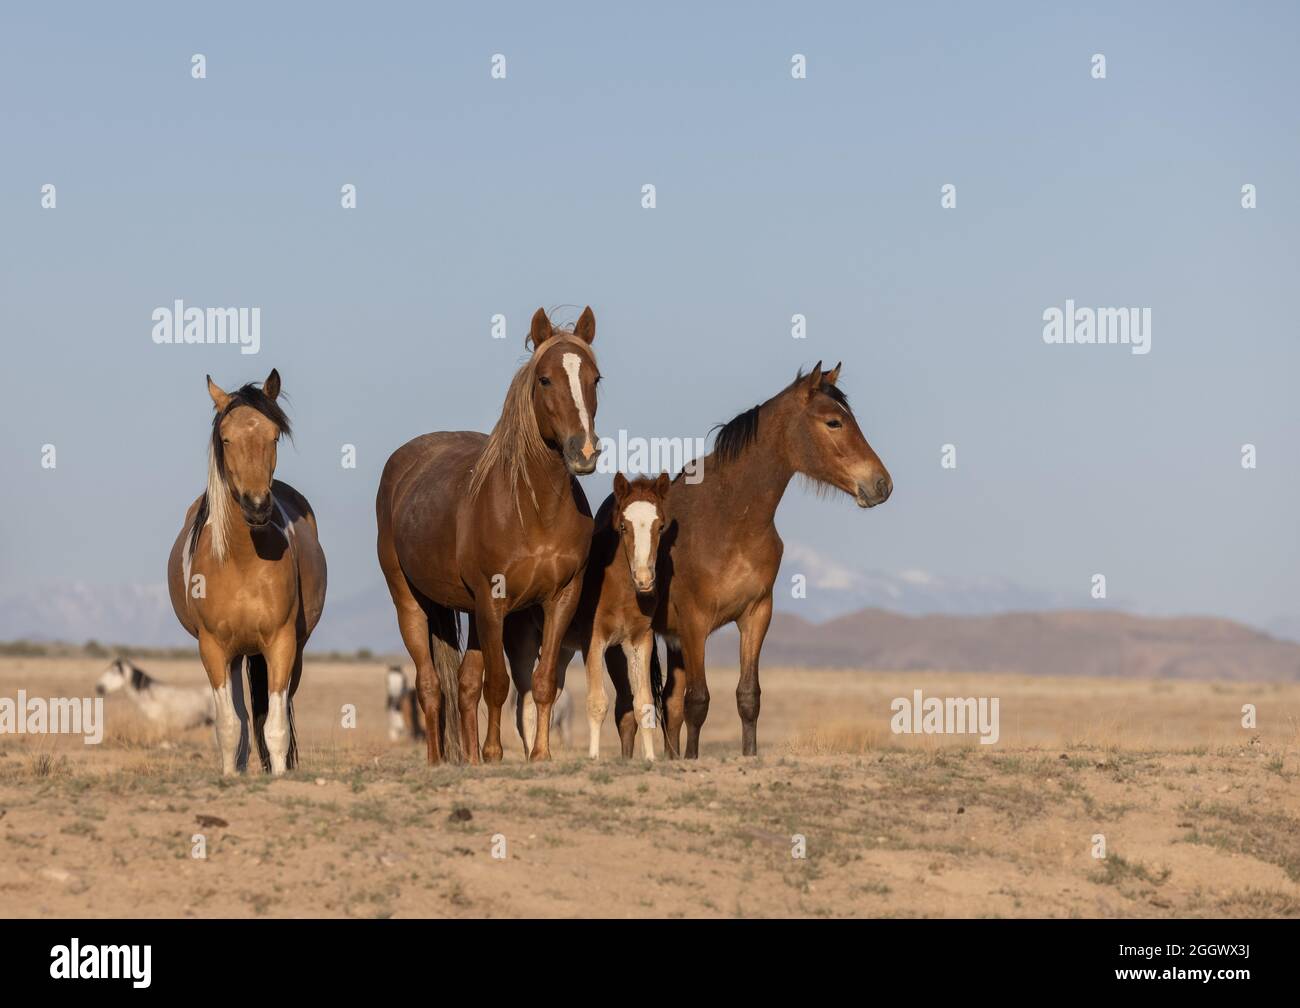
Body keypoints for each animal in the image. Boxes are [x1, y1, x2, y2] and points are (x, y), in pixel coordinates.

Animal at [166, 369, 327, 775]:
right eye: (226, 438)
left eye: (273, 436)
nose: (257, 507)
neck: (241, 560)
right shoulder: (212, 648)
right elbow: (229, 727)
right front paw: (229, 776)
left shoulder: (282, 644)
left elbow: (275, 727)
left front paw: (280, 776)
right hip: (236, 654)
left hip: (286, 650)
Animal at [375, 306, 601, 765]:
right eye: (545, 379)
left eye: (595, 378)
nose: (583, 452)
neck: (534, 510)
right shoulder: (493, 601)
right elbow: (497, 684)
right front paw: (495, 753)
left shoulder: (561, 597)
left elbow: (542, 681)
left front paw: (539, 755)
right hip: (412, 601)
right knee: (430, 684)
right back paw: (438, 760)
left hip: (471, 612)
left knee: (463, 684)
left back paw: (469, 758)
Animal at [648, 361, 891, 758]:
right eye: (833, 422)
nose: (882, 484)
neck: (728, 515)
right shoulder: (695, 622)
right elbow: (698, 701)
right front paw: (693, 759)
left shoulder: (756, 613)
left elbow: (748, 697)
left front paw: (749, 754)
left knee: (669, 704)